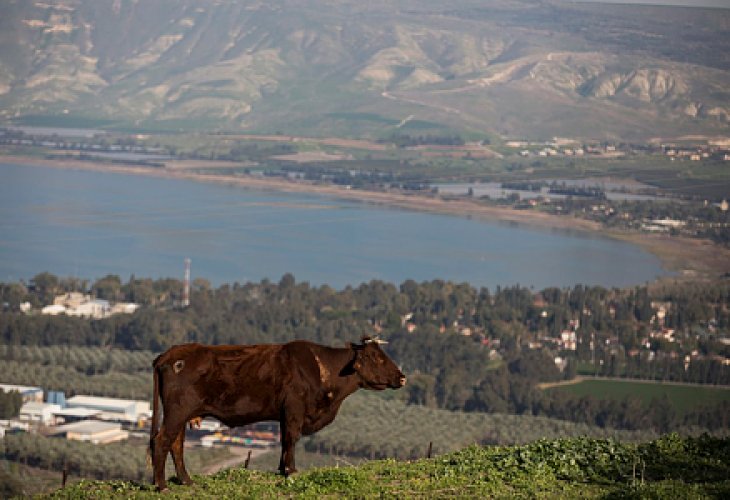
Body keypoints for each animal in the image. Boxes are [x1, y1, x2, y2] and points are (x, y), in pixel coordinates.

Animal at [148, 338, 404, 490]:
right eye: (378, 358)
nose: (402, 377)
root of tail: (169, 354)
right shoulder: (293, 410)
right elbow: (291, 438)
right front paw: (291, 471)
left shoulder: (284, 414)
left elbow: (284, 441)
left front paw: (282, 469)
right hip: (177, 412)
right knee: (162, 441)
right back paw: (162, 485)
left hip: (181, 415)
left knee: (176, 444)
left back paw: (186, 480)